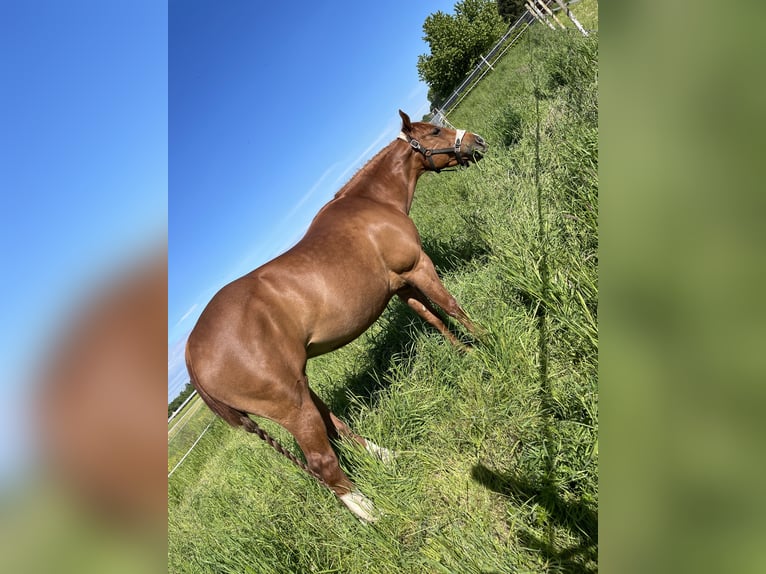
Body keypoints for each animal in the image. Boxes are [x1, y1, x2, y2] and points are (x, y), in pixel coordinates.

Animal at [186, 109, 486, 520]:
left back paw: (385, 455)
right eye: (435, 132)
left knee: (335, 427)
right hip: (293, 408)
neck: (372, 203)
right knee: (322, 464)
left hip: (301, 391)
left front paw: (465, 352)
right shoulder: (418, 267)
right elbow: (452, 306)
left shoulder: (401, 286)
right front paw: (487, 343)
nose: (477, 141)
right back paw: (372, 516)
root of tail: (191, 356)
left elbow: (434, 318)